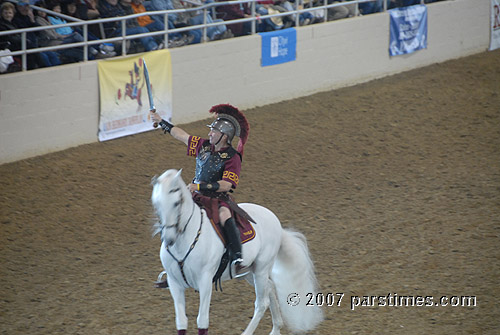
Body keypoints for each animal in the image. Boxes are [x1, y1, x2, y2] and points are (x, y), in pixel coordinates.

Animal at [151, 171, 324, 335]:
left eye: (176, 203)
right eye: (156, 204)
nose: (169, 239)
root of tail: (276, 223)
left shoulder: (205, 281)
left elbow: (202, 320)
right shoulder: (175, 283)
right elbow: (181, 321)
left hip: (261, 269)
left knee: (262, 302)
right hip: (249, 271)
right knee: (270, 287)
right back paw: (276, 329)